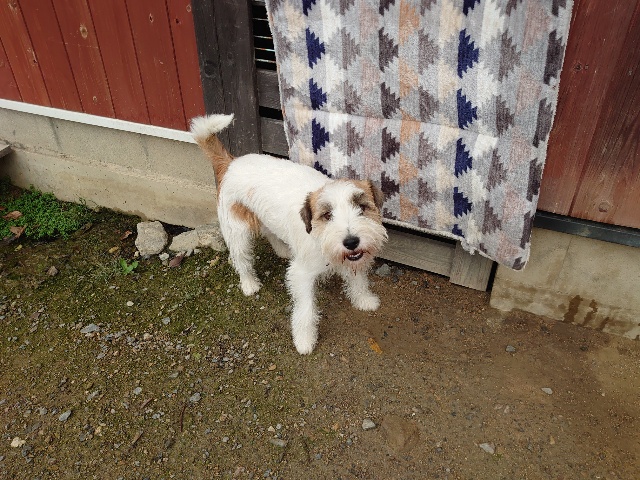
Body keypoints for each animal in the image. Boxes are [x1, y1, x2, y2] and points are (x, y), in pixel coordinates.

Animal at [191, 114, 388, 354]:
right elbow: (306, 310)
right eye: (327, 215)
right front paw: (304, 340)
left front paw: (363, 300)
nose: (351, 241)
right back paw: (249, 284)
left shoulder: (352, 259)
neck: (319, 238)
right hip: (237, 233)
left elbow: (357, 280)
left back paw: (283, 250)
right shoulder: (300, 275)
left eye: (362, 207)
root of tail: (230, 163)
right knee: (241, 259)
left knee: (269, 232)